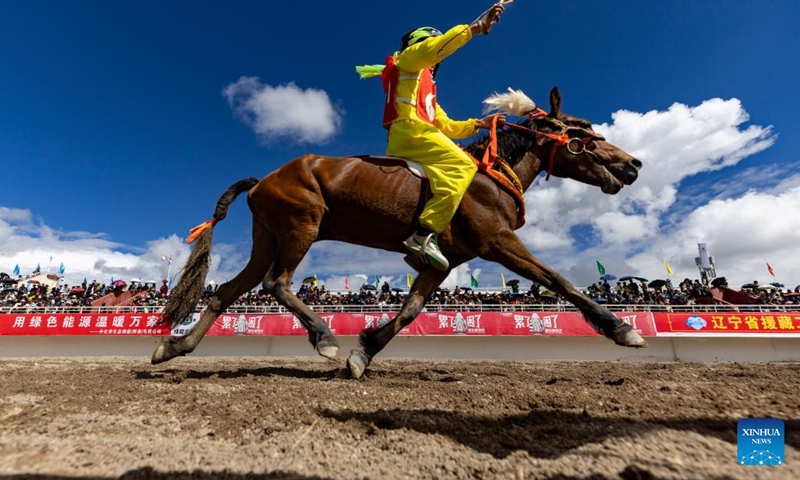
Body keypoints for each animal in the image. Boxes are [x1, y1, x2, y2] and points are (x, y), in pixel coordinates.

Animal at [152, 87, 647, 378]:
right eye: (583, 131)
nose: (633, 163)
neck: (489, 175)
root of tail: (263, 180)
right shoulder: (499, 243)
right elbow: (559, 280)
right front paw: (621, 328)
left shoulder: (444, 262)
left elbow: (410, 309)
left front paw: (366, 349)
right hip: (301, 226)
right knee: (278, 283)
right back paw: (325, 339)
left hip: (268, 238)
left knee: (227, 292)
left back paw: (175, 346)